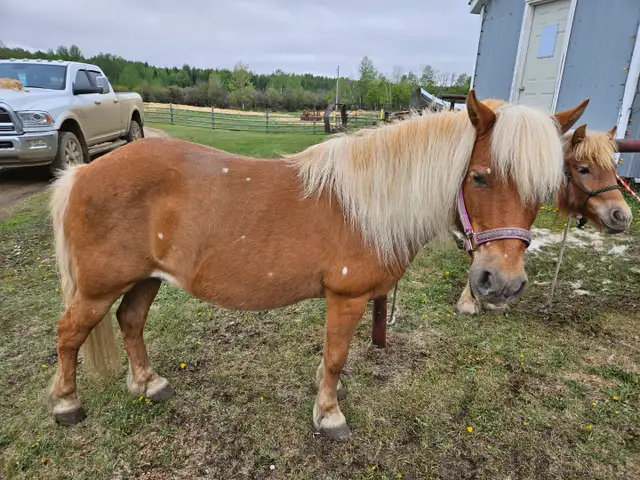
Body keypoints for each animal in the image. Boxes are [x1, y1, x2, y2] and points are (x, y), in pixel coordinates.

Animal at [47, 90, 588, 441]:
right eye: (478, 177)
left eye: (543, 191)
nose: (502, 284)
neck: (371, 204)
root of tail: (82, 172)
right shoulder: (345, 298)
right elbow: (335, 358)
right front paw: (329, 415)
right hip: (99, 287)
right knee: (70, 333)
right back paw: (67, 404)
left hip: (145, 279)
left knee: (130, 321)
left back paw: (148, 383)